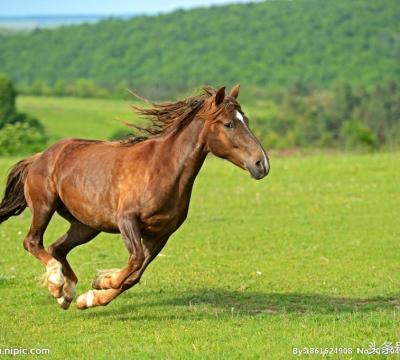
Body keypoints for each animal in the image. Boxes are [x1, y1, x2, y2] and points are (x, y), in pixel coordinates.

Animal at [0, 85, 270, 310]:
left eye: (245, 120)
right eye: (228, 124)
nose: (262, 164)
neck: (162, 169)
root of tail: (39, 156)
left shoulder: (161, 234)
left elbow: (134, 276)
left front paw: (91, 297)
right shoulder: (127, 220)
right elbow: (135, 261)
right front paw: (103, 280)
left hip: (86, 225)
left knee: (57, 247)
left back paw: (66, 293)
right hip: (44, 206)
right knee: (33, 242)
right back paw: (56, 282)